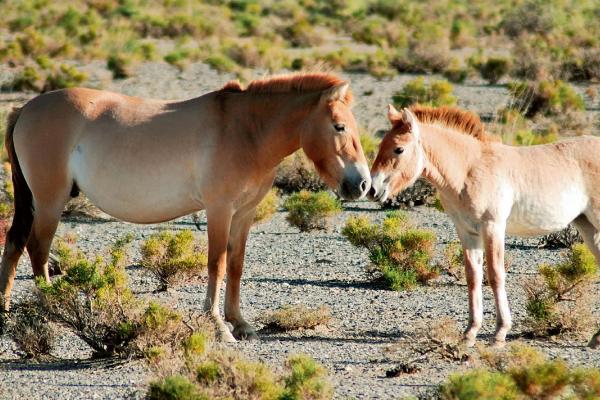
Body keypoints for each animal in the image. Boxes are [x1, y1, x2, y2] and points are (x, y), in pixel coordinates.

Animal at [1, 72, 370, 340]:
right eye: (339, 126)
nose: (363, 184)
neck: (245, 131)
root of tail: (25, 109)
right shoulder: (219, 210)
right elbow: (217, 264)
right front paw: (218, 326)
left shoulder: (244, 214)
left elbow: (236, 265)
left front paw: (241, 324)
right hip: (50, 201)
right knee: (37, 249)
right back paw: (51, 309)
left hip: (35, 201)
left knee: (15, 244)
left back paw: (5, 311)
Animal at [370, 104, 600, 348]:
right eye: (381, 145)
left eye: (399, 149)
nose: (372, 189)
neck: (469, 170)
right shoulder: (467, 232)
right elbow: (473, 277)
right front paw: (470, 333)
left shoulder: (493, 227)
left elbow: (496, 275)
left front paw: (500, 333)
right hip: (587, 227)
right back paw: (596, 338)